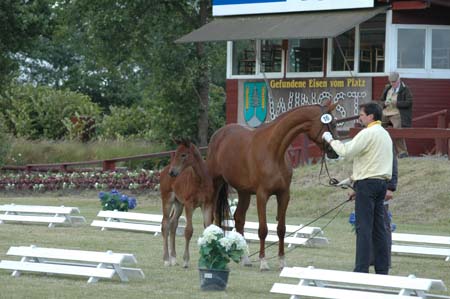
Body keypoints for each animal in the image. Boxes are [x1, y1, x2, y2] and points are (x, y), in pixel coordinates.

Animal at [160, 139, 218, 268]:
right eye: (175, 153)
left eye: (183, 155)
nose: (172, 172)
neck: (200, 180)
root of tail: (164, 170)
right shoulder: (189, 204)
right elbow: (188, 231)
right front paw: (186, 260)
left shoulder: (207, 204)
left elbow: (208, 228)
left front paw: (208, 259)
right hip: (168, 200)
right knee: (165, 224)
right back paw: (166, 259)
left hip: (178, 204)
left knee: (173, 223)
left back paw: (173, 258)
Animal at [207, 102, 338, 270]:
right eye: (332, 124)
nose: (334, 152)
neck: (274, 151)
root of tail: (218, 134)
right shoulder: (262, 195)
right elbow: (263, 229)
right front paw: (263, 262)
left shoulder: (284, 194)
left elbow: (281, 229)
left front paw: (282, 261)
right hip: (216, 184)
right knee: (213, 217)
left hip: (244, 193)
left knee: (239, 218)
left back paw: (245, 259)